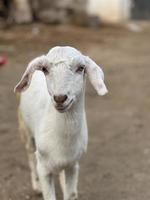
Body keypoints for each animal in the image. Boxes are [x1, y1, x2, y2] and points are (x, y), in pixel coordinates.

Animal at [14, 46, 108, 200]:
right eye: (45, 69)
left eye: (81, 68)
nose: (60, 98)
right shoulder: (43, 168)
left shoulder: (73, 165)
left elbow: (71, 194)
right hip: (25, 130)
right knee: (30, 156)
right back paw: (36, 186)